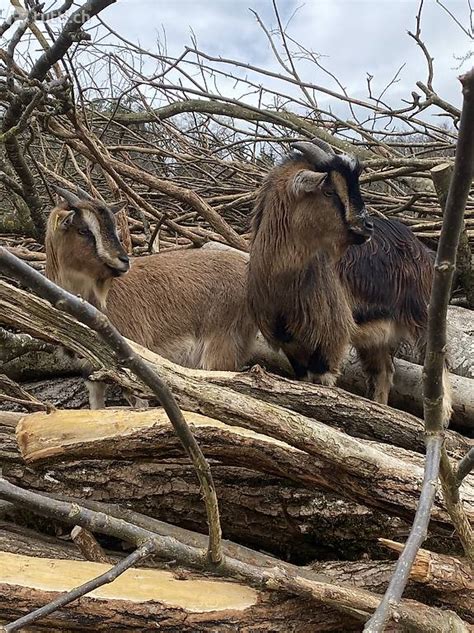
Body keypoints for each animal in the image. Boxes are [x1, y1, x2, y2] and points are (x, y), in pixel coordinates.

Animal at [246, 138, 450, 412]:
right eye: (329, 191)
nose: (367, 225)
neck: (282, 280)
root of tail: (421, 247)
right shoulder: (290, 341)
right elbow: (302, 378)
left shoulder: (330, 334)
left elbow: (321, 380)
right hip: (376, 335)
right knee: (383, 372)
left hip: (425, 314)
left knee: (439, 368)